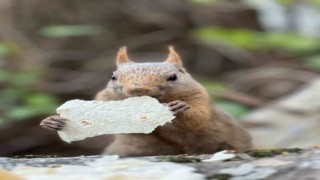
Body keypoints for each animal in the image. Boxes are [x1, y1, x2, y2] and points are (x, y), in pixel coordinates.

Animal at [39, 47, 252, 157]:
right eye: (113, 77)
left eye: (173, 77)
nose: (137, 89)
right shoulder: (104, 99)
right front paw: (53, 121)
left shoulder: (199, 97)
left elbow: (198, 119)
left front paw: (179, 109)